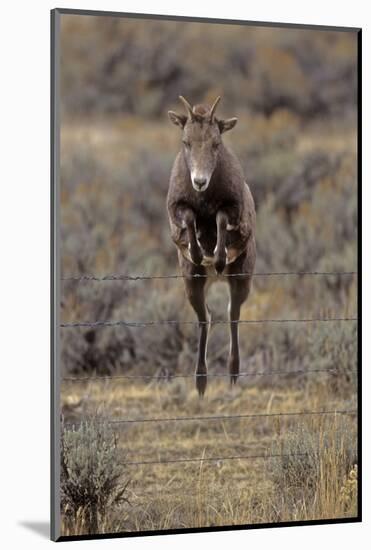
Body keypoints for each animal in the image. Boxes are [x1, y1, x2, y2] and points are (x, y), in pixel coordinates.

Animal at [168, 96, 258, 396]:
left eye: (216, 143)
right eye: (186, 141)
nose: (199, 181)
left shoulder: (231, 209)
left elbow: (220, 219)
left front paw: (217, 258)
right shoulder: (179, 209)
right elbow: (190, 219)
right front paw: (199, 254)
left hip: (240, 278)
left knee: (232, 315)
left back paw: (232, 376)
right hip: (193, 283)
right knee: (204, 317)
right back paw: (201, 382)